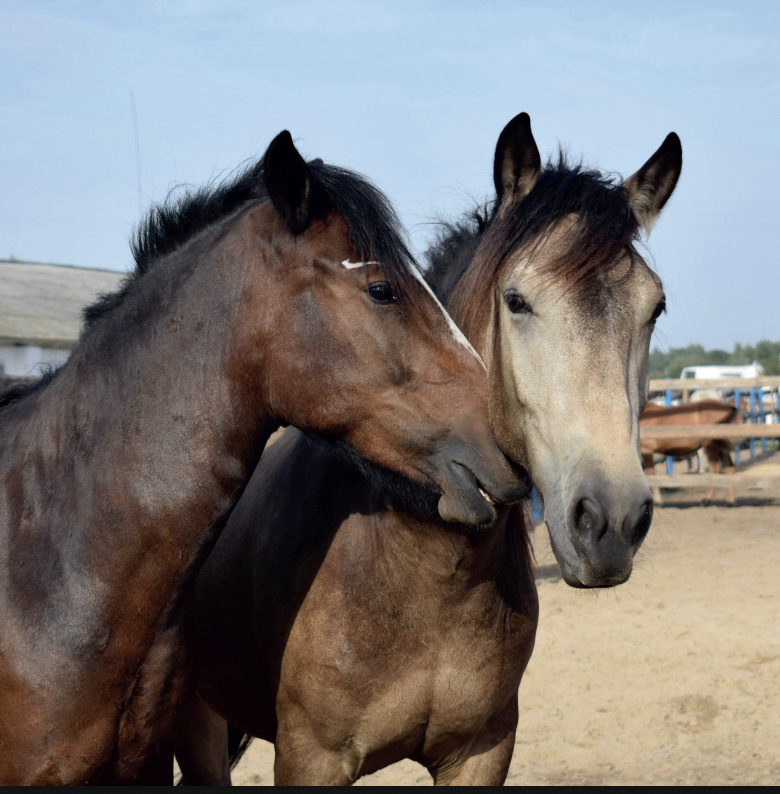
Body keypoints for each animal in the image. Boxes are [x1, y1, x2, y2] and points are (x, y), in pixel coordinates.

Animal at [173, 113, 682, 785]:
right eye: (516, 301)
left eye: (656, 308)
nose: (612, 521)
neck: (424, 567)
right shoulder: (312, 757)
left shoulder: (484, 750)